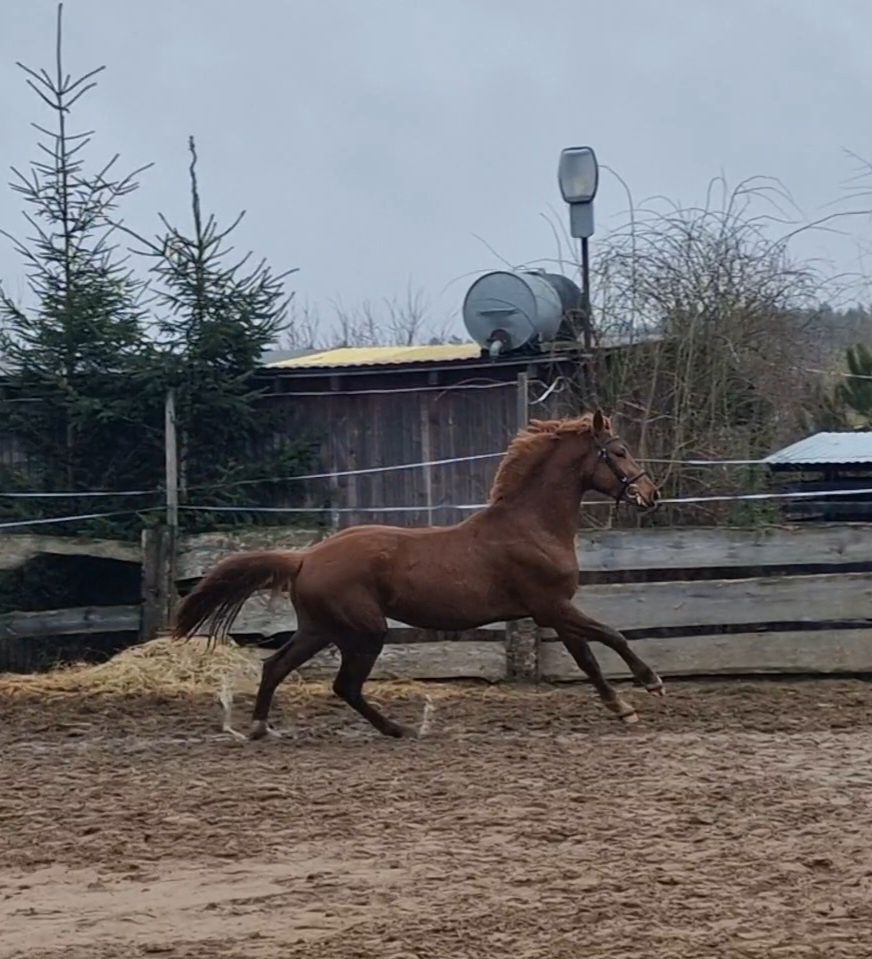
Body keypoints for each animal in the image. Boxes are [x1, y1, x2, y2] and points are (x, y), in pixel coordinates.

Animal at [177, 408, 668, 740]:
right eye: (619, 451)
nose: (651, 494)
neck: (532, 526)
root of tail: (306, 558)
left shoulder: (553, 611)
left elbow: (588, 659)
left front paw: (621, 708)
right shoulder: (551, 606)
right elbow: (612, 636)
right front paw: (651, 684)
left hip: (319, 628)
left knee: (277, 666)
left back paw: (262, 727)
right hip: (364, 631)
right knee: (344, 685)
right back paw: (400, 729)